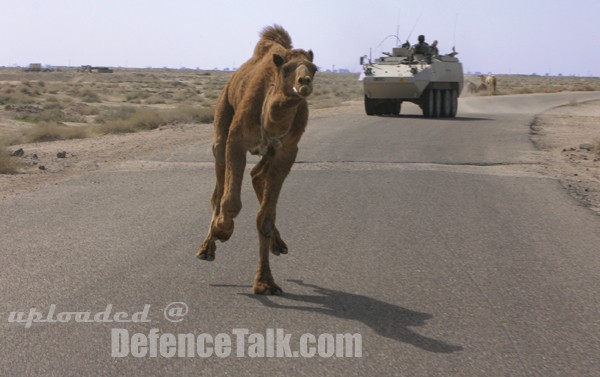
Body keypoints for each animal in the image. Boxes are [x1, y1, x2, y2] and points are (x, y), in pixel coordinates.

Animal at [197, 25, 318, 294]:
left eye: (314, 68)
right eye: (286, 68)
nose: (304, 82)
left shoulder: (287, 151)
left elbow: (265, 218)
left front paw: (265, 281)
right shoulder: (236, 139)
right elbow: (230, 201)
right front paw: (223, 230)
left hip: (268, 153)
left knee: (257, 176)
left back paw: (278, 244)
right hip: (221, 124)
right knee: (218, 192)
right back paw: (207, 248)